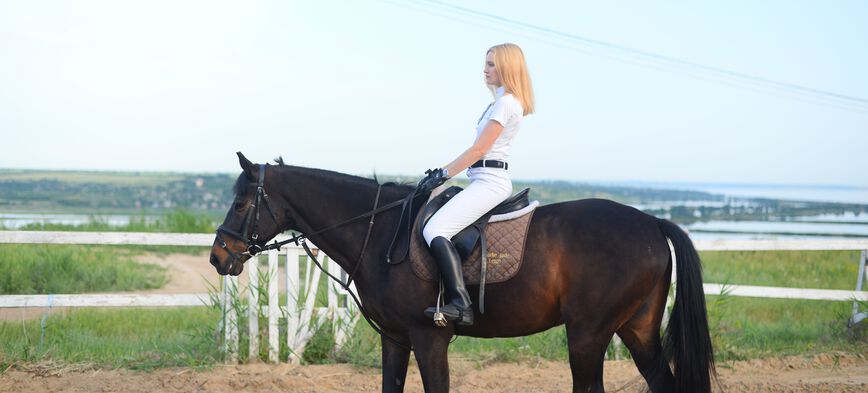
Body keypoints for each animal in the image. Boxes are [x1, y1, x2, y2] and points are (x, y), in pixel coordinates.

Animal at [209, 152, 712, 390]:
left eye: (242, 202)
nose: (218, 256)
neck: (381, 231)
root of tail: (651, 222)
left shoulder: (429, 337)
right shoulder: (395, 338)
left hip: (588, 335)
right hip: (636, 329)